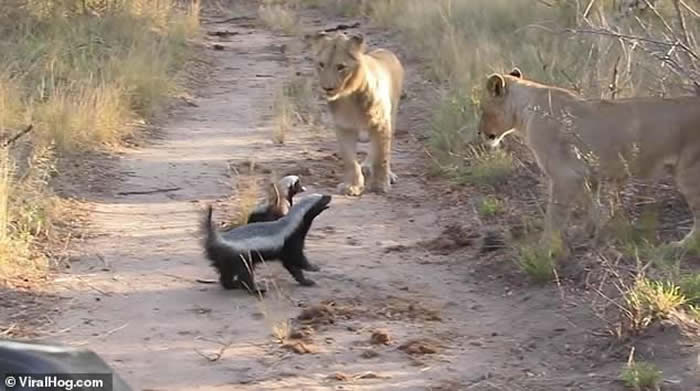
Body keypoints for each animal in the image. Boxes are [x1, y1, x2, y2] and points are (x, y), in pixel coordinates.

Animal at [306, 31, 404, 196]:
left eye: (341, 67)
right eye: (321, 64)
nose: (327, 88)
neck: (349, 96)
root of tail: (385, 51)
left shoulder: (382, 122)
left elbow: (382, 155)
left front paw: (380, 185)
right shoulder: (344, 126)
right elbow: (350, 160)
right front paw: (352, 186)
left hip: (393, 113)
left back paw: (386, 174)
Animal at [476, 67, 700, 248]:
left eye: (482, 109)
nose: (479, 133)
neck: (525, 109)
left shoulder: (564, 175)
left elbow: (554, 216)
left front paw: (544, 248)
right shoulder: (584, 173)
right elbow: (591, 203)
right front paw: (592, 233)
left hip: (690, 173)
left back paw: (681, 246)